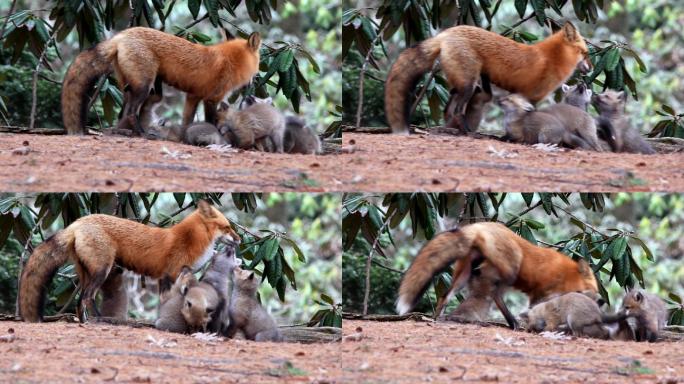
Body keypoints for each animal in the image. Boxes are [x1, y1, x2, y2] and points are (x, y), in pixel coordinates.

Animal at [18, 200, 239, 322]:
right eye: (227, 228)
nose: (238, 240)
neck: (190, 239)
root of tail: (77, 222)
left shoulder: (165, 278)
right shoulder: (171, 275)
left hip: (86, 273)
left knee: (81, 300)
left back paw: (86, 321)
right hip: (102, 270)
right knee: (87, 298)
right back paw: (99, 321)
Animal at [62, 27, 262, 135]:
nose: (254, 81)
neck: (231, 60)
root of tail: (121, 35)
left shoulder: (193, 96)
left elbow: (187, 119)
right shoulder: (211, 98)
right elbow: (210, 120)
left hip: (129, 87)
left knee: (123, 113)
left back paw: (123, 132)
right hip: (143, 86)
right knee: (130, 112)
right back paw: (141, 134)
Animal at [384, 22, 592, 134]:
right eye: (585, 53)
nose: (590, 69)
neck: (553, 58)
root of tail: (445, 33)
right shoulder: (532, 96)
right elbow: (531, 116)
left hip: (459, 85)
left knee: (448, 109)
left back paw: (451, 130)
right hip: (467, 85)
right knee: (457, 109)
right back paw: (467, 132)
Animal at [396, 224, 600, 328]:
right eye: (593, 288)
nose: (601, 300)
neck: (564, 274)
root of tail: (478, 225)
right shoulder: (538, 293)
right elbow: (536, 310)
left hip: (464, 277)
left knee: (446, 296)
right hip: (511, 268)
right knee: (493, 293)